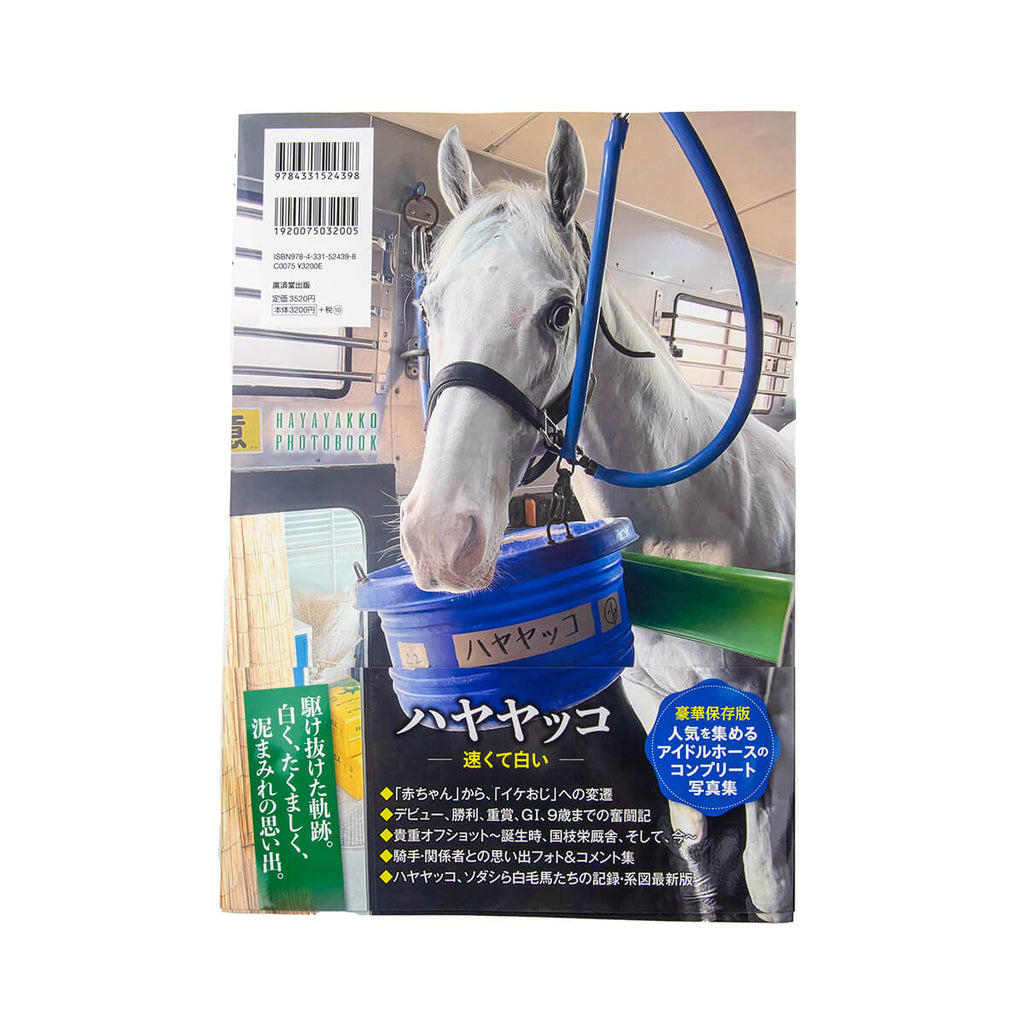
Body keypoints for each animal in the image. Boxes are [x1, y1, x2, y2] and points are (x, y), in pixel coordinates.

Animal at [399, 119, 795, 921]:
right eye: (429, 307)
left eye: (560, 311)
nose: (438, 537)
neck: (690, 518)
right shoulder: (651, 695)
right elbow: (699, 854)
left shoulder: (777, 715)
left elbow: (769, 883)